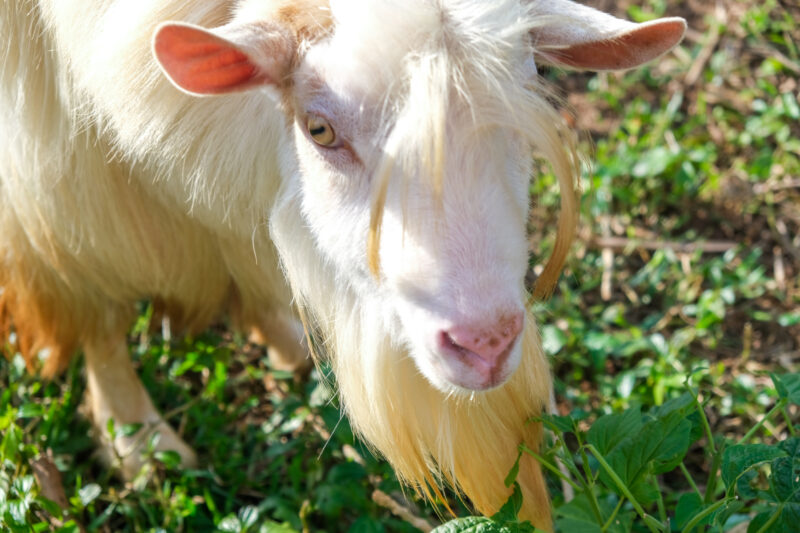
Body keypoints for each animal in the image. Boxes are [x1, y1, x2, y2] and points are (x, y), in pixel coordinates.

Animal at [0, 1, 684, 528]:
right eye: (320, 129)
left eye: (532, 89)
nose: (485, 344)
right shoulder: (51, 133)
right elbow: (82, 258)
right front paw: (137, 439)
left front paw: (276, 330)